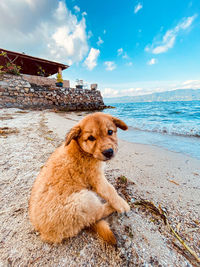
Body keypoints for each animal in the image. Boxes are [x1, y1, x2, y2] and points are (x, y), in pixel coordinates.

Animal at [29, 112, 130, 245]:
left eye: (110, 132)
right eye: (91, 138)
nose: (108, 152)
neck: (82, 151)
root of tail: (46, 234)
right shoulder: (97, 179)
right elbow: (111, 191)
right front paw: (122, 205)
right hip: (83, 200)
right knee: (96, 214)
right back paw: (110, 207)